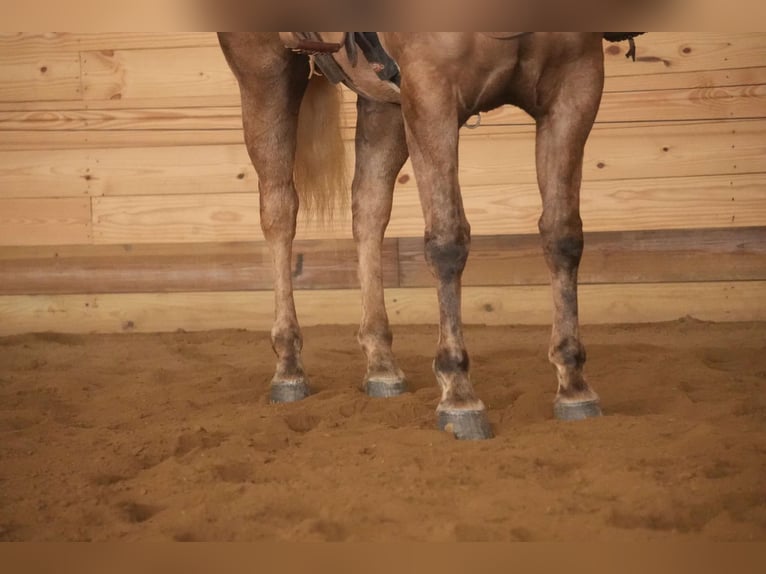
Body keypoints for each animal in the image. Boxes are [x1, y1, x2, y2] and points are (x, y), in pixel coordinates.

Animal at [218, 32, 636, 440]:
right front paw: (459, 394)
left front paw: (574, 385)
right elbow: (447, 242)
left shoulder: (575, 87)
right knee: (279, 210)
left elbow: (563, 237)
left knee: (369, 206)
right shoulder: (432, 93)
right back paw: (289, 366)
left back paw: (381, 363)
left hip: (383, 102)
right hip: (266, 75)